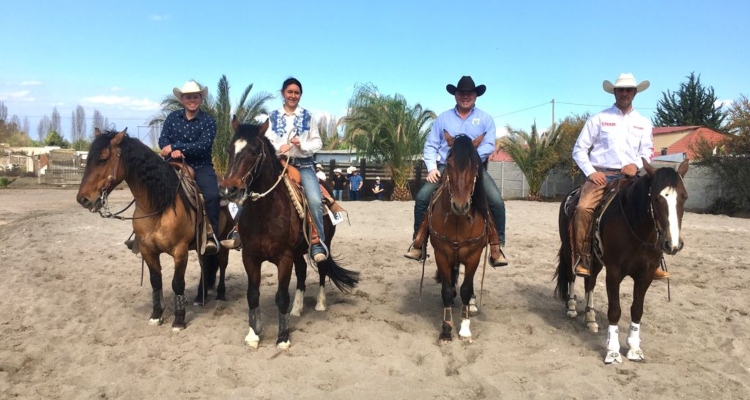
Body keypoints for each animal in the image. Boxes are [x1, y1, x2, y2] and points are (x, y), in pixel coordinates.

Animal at [77, 128, 232, 332]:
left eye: (103, 159)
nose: (83, 199)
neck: (159, 205)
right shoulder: (147, 250)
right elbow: (155, 281)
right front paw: (156, 315)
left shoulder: (180, 251)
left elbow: (177, 283)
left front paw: (179, 320)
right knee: (206, 264)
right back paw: (200, 296)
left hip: (223, 239)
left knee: (222, 264)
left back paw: (221, 295)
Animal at [220, 116, 362, 350]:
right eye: (230, 149)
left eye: (253, 151)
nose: (229, 190)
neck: (265, 211)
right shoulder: (250, 256)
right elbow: (252, 294)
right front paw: (253, 334)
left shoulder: (284, 257)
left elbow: (281, 296)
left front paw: (283, 337)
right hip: (297, 251)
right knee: (303, 271)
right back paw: (296, 309)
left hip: (324, 244)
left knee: (322, 269)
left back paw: (320, 304)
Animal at [428, 131, 494, 344]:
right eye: (448, 163)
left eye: (475, 165)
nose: (460, 205)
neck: (458, 220)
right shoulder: (442, 254)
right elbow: (447, 291)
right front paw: (446, 330)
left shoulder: (474, 255)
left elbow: (466, 289)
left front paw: (464, 329)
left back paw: (471, 305)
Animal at [556, 158, 692, 364]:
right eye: (656, 198)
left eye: (684, 197)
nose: (673, 244)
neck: (636, 229)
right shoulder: (614, 272)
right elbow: (615, 310)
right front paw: (612, 351)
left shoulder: (646, 275)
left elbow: (637, 310)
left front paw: (634, 348)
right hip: (568, 249)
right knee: (572, 274)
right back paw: (571, 307)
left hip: (595, 260)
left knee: (590, 282)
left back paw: (590, 318)